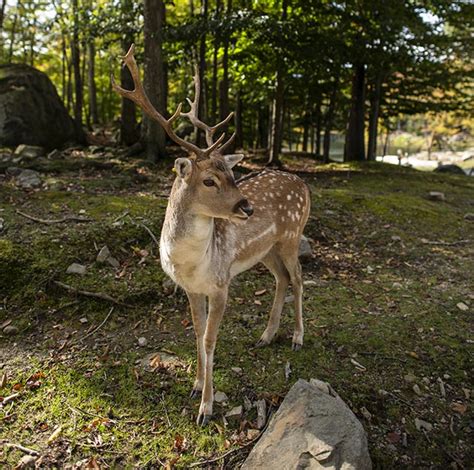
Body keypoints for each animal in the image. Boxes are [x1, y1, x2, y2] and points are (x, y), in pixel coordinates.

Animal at [111, 45, 312, 426]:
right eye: (209, 180)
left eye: (232, 175)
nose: (248, 208)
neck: (190, 265)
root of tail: (304, 184)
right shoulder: (191, 289)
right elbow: (195, 333)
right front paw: (194, 386)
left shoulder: (221, 285)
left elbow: (208, 340)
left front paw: (205, 408)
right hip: (266, 250)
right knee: (281, 278)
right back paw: (266, 336)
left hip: (293, 235)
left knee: (297, 278)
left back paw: (296, 338)